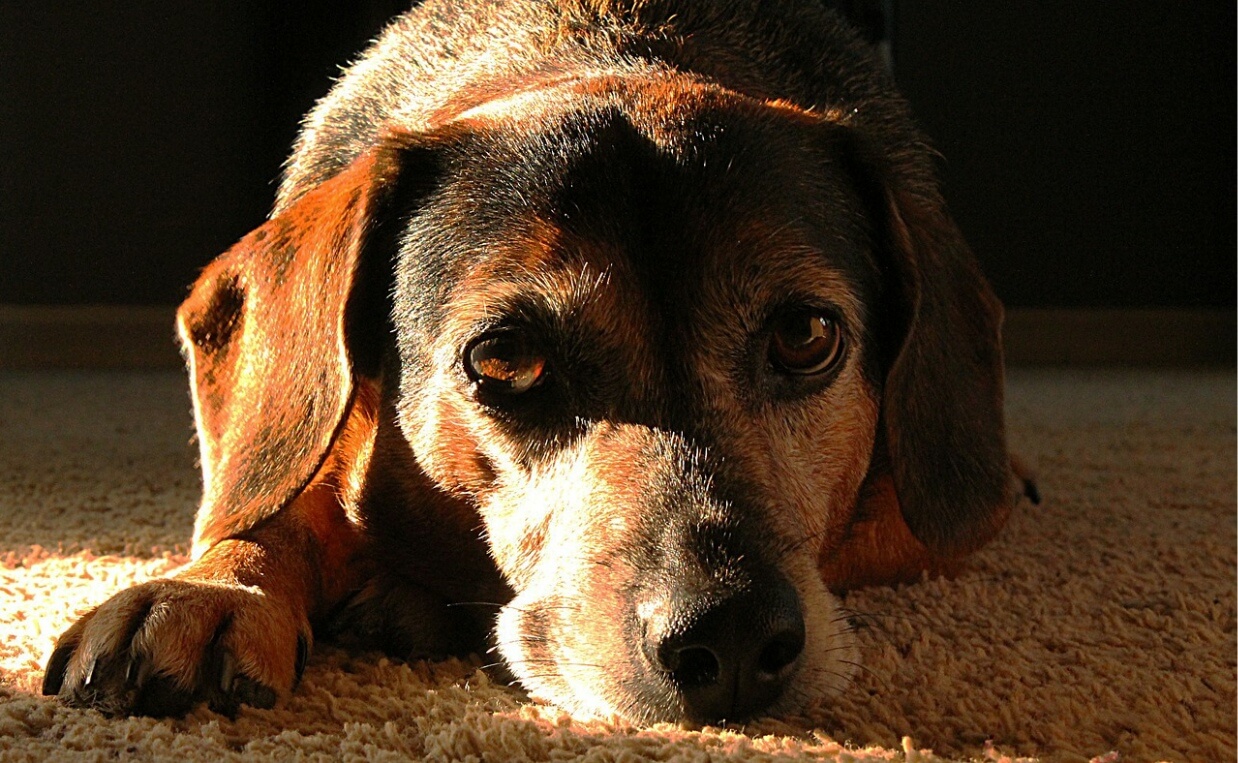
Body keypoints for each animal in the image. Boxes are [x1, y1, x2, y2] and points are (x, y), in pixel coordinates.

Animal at [41, 0, 1025, 723]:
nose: (738, 638)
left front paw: (398, 590)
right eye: (506, 357)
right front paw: (218, 586)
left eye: (806, 336)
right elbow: (291, 494)